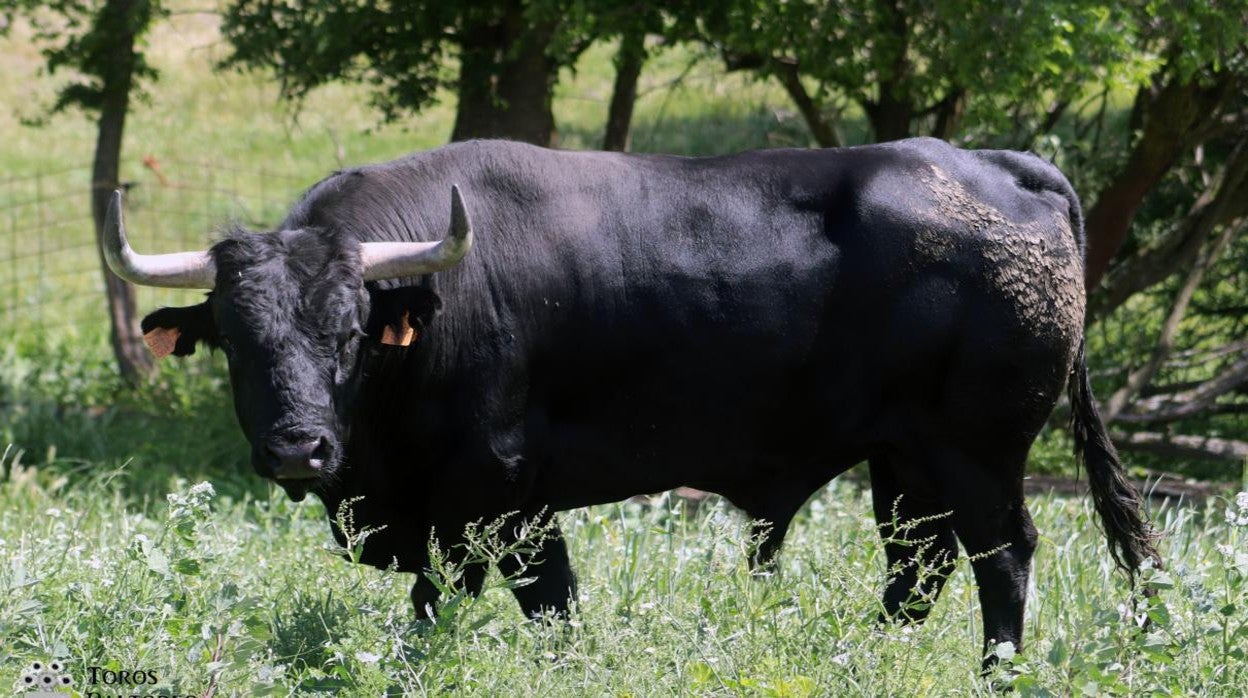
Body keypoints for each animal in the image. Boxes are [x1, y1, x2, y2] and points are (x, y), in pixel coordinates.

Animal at [107, 137, 1158, 664]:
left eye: (349, 331)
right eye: (240, 343)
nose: (298, 450)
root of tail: (999, 165)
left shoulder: (505, 494)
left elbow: (539, 604)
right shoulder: (443, 512)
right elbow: (441, 603)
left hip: (976, 450)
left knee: (1002, 558)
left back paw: (995, 672)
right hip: (904, 459)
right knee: (918, 564)